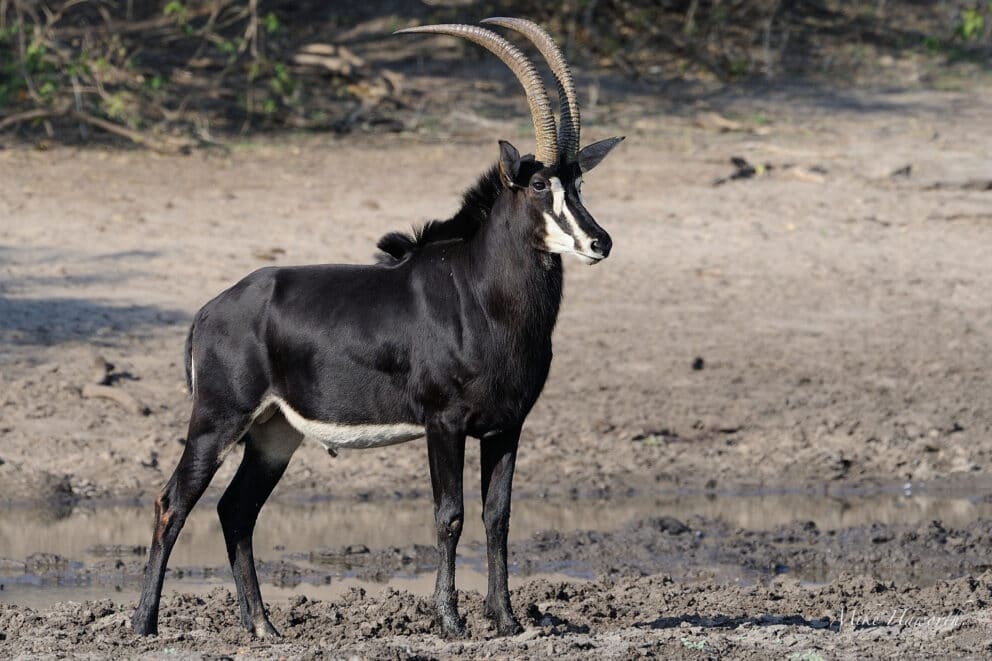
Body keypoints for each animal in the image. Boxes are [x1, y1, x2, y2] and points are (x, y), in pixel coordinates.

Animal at [131, 18, 623, 639]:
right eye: (540, 187)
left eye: (579, 184)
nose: (599, 242)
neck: (480, 293)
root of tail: (207, 311)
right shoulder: (444, 423)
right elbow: (450, 515)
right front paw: (450, 622)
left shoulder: (506, 427)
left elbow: (498, 517)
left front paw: (507, 620)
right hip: (218, 420)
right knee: (173, 501)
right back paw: (144, 625)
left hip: (274, 433)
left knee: (235, 510)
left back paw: (263, 626)